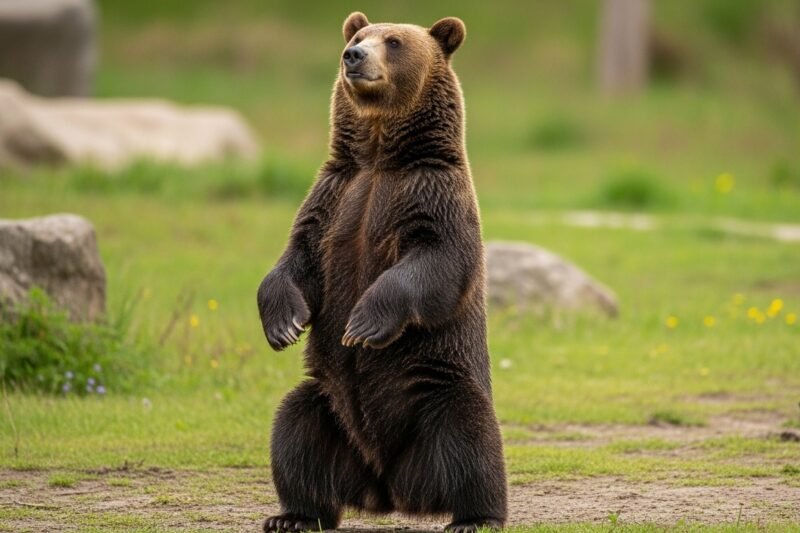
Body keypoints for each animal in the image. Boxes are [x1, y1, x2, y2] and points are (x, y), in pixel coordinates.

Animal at [257, 12, 507, 532]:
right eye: (357, 36)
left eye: (392, 41)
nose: (353, 55)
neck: (377, 156)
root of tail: (387, 486)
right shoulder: (335, 196)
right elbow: (296, 258)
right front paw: (284, 322)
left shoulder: (431, 195)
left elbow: (436, 263)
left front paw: (363, 324)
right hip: (329, 403)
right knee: (294, 431)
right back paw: (293, 514)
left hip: (437, 388)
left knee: (472, 438)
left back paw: (475, 516)